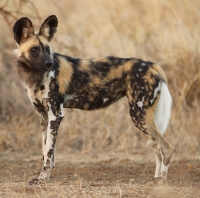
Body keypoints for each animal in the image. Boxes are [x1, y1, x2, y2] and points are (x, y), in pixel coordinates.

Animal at [12, 15, 173, 184]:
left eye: (47, 49)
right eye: (34, 50)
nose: (48, 63)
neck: (35, 76)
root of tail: (153, 65)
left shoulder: (55, 115)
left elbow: (48, 154)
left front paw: (42, 178)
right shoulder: (44, 117)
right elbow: (45, 152)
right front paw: (45, 175)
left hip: (139, 115)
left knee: (167, 148)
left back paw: (162, 179)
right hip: (143, 118)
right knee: (157, 148)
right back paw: (156, 177)